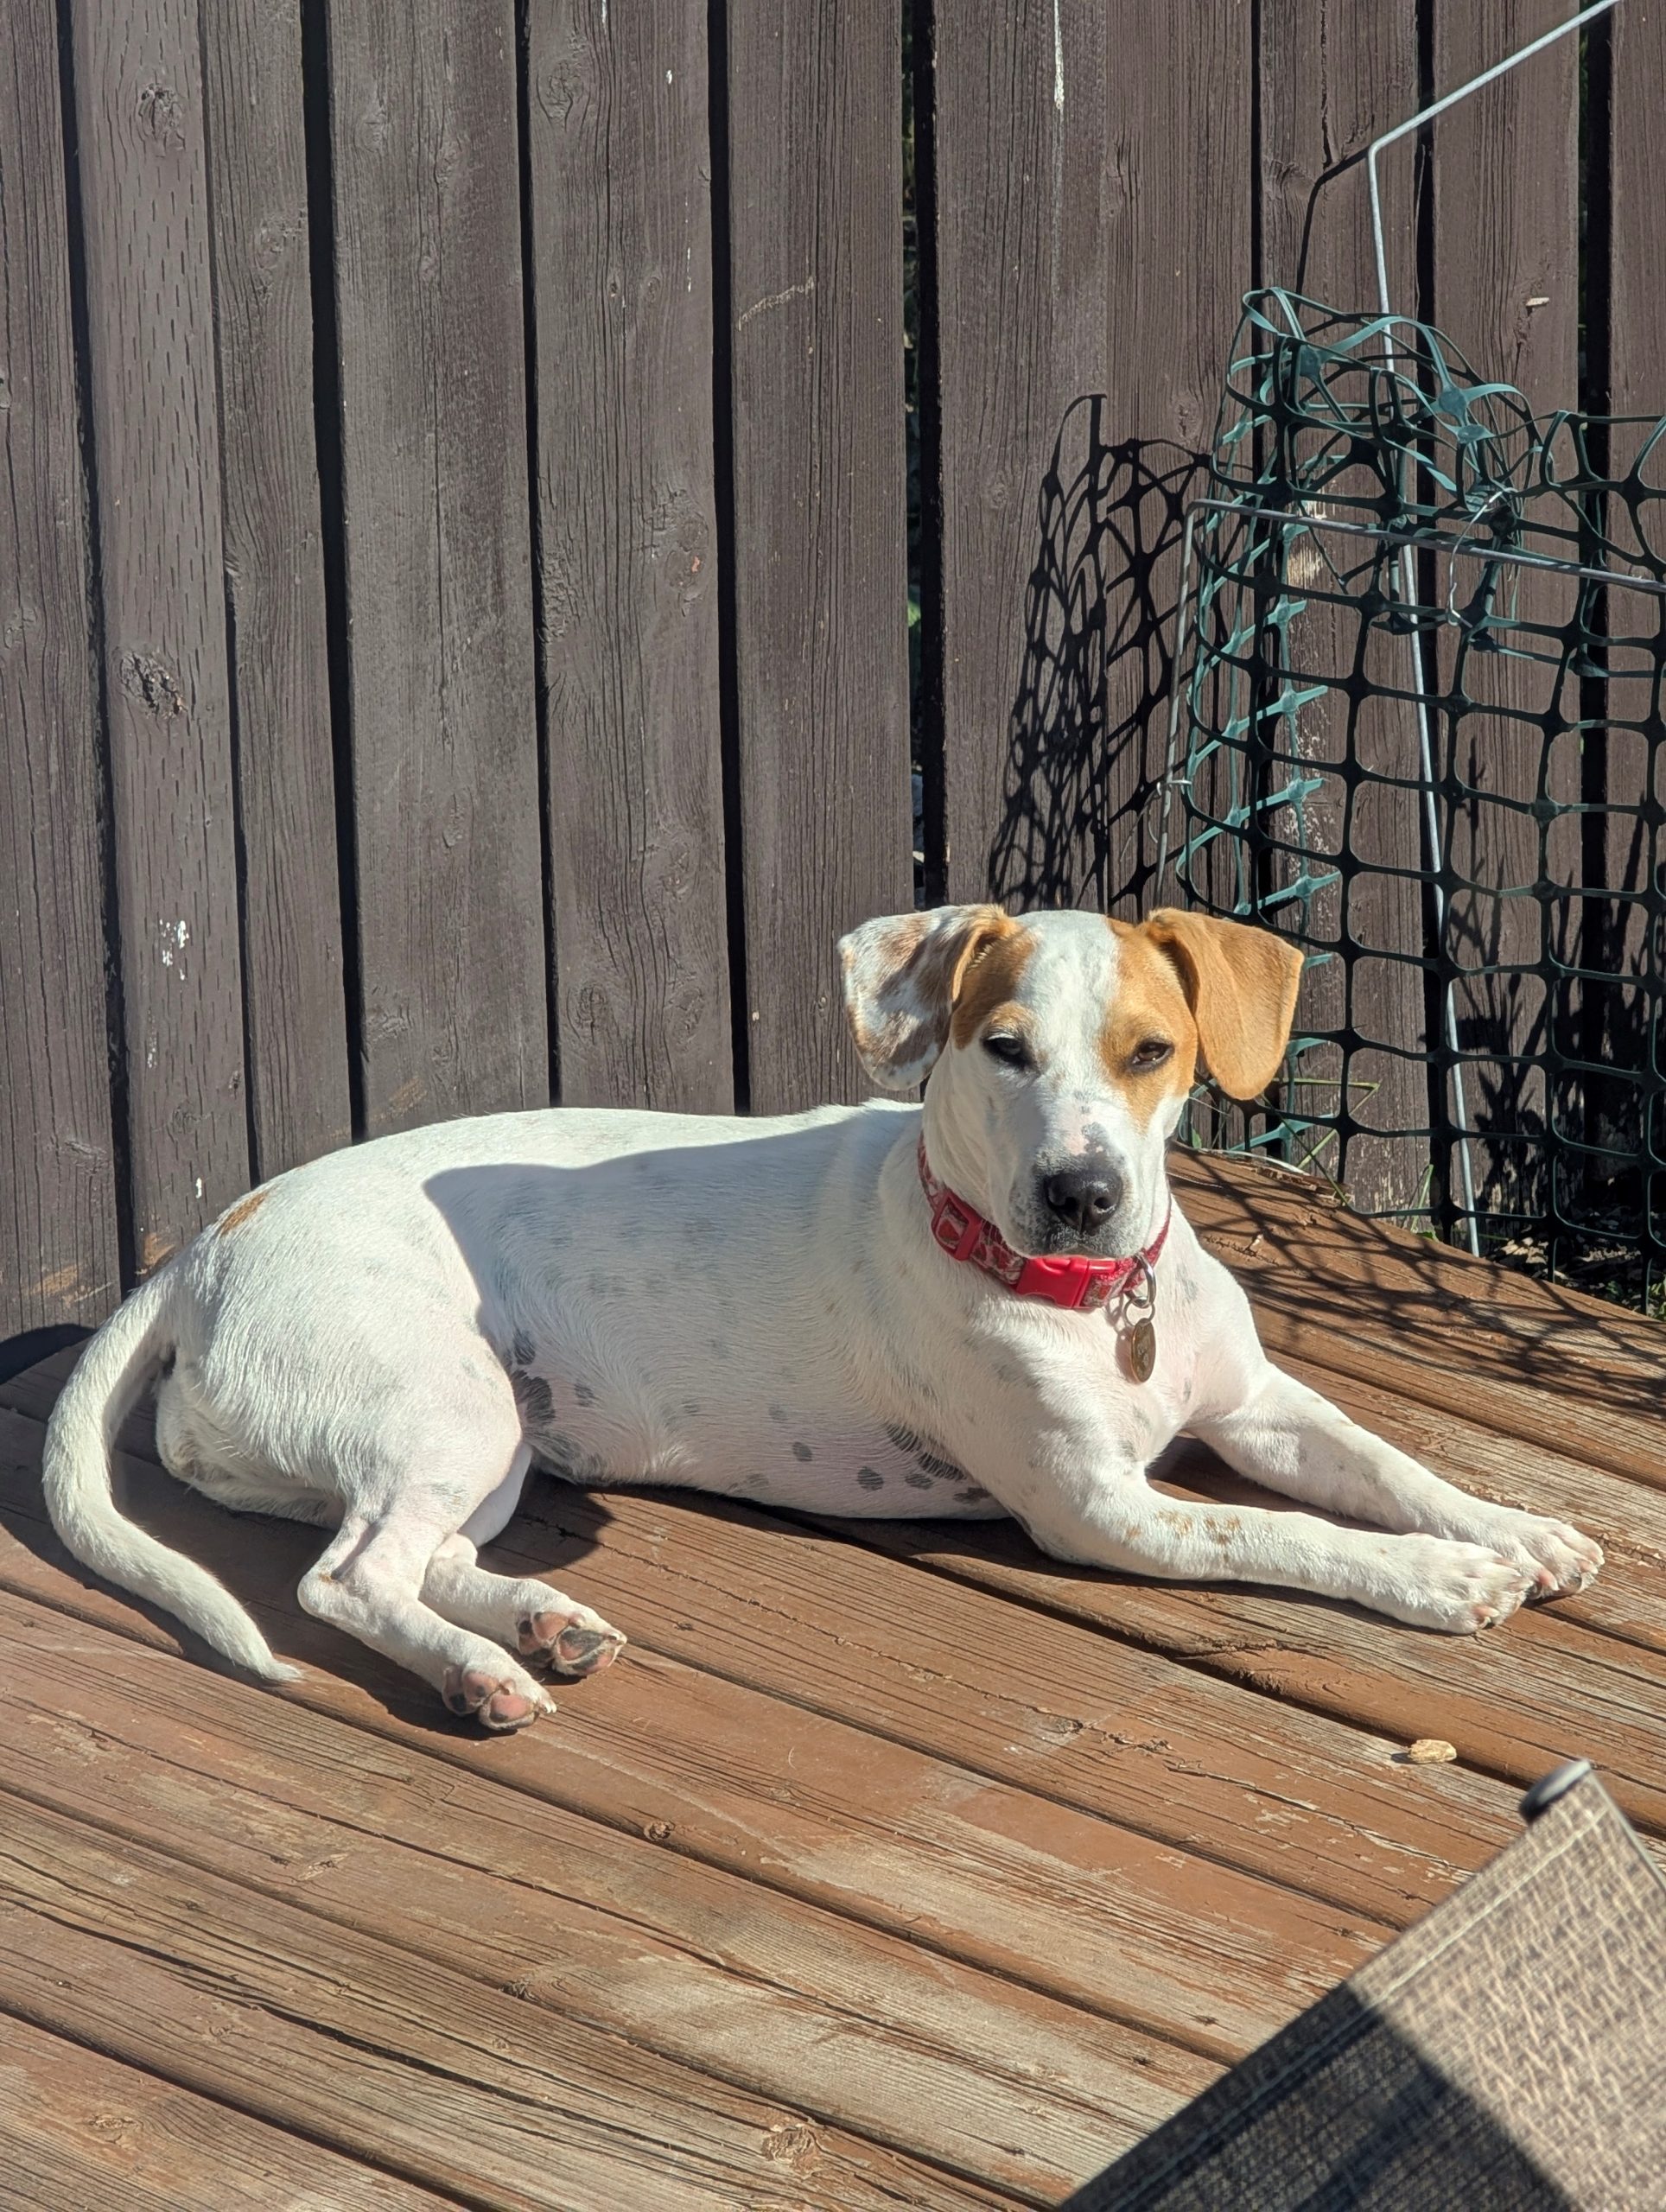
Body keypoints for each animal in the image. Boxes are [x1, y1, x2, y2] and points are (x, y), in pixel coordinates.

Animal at [44, 904, 1602, 1730]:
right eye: (1003, 1050)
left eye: (1152, 1053)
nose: (1082, 1193)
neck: (1093, 1302)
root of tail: (204, 1246)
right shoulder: (1101, 1511)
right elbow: (1287, 1538)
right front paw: (1438, 1583)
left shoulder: (1258, 1407)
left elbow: (1386, 1465)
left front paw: (1516, 1533)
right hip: (445, 1406)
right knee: (342, 1581)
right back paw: (486, 1675)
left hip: (487, 1448)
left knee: (410, 1560)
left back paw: (544, 1626)